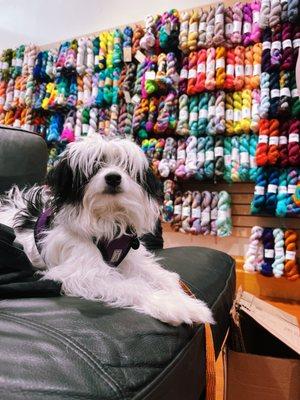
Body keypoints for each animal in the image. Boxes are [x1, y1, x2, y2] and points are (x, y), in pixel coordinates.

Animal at [1, 136, 214, 326]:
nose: (113, 177)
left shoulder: (130, 257)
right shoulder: (82, 272)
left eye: (125, 166)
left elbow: (163, 277)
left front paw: (182, 298)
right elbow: (133, 285)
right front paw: (172, 305)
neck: (108, 217)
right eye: (95, 165)